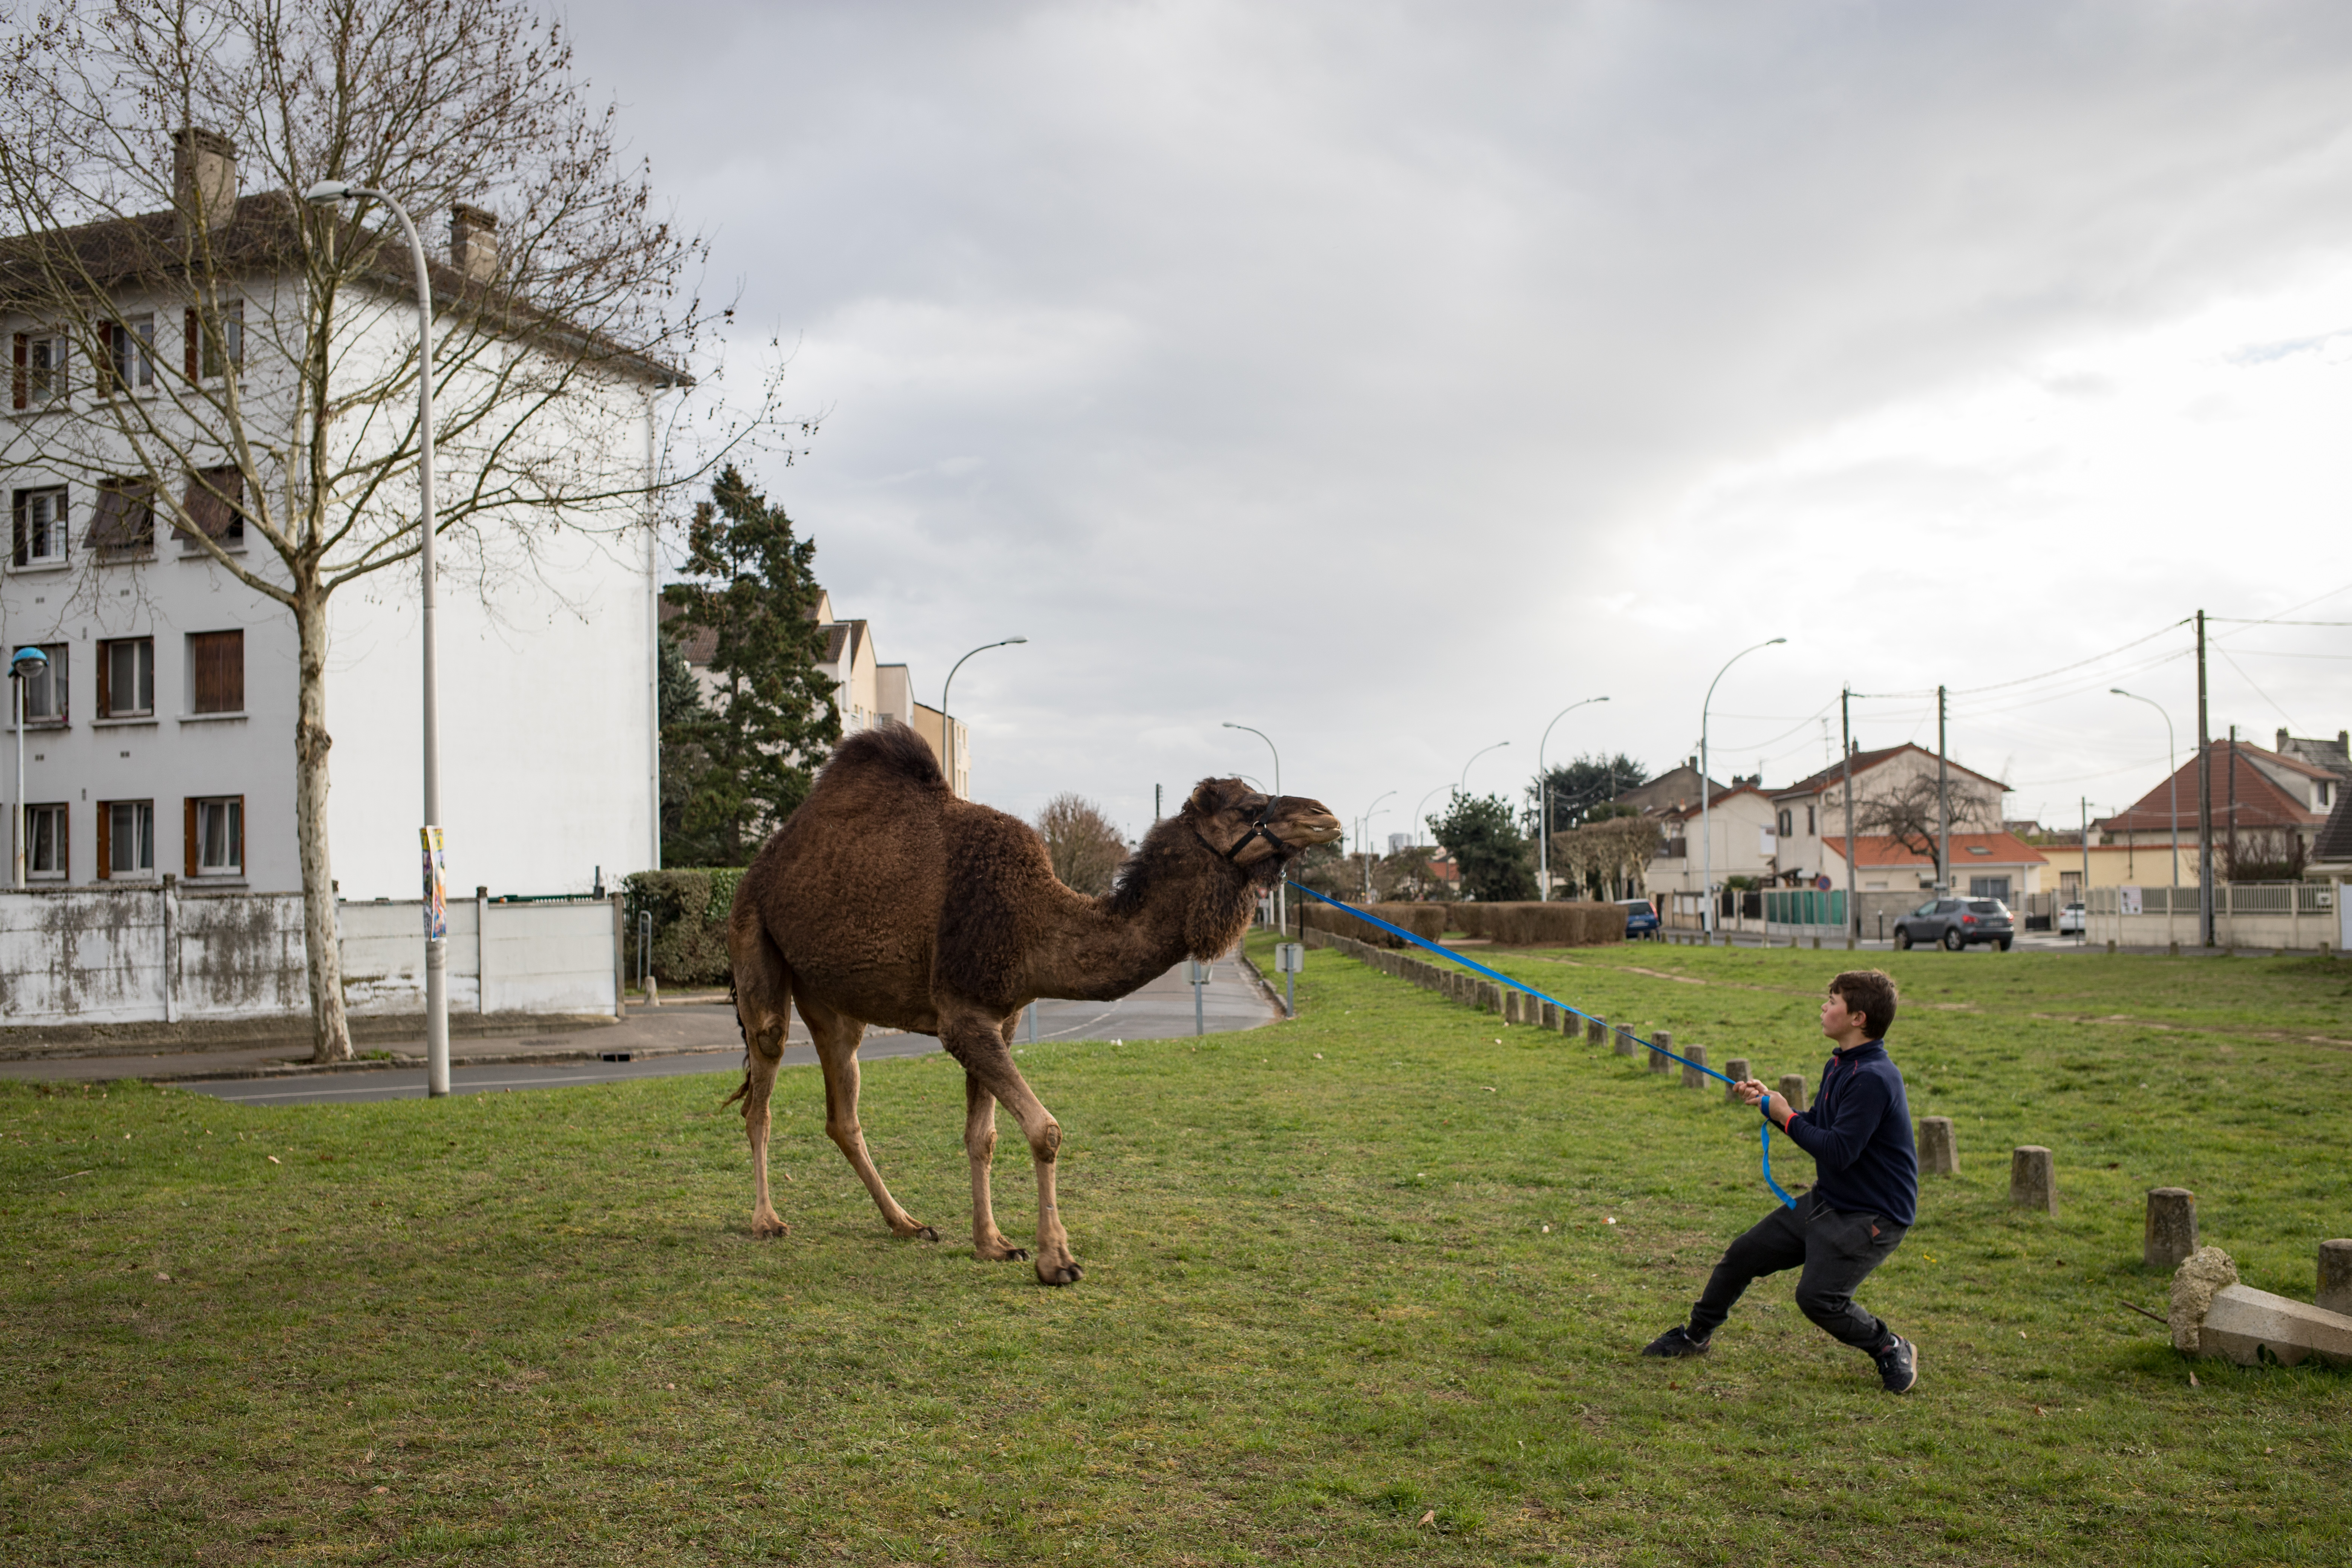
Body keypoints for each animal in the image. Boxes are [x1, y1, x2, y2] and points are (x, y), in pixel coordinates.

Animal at [715, 729, 1345, 1288]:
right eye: (1248, 808)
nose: (1324, 815)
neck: (1033, 921)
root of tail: (764, 863)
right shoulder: (963, 1018)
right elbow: (1045, 1130)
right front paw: (1057, 1261)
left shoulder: (1001, 1017)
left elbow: (984, 1136)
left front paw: (993, 1244)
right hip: (755, 938)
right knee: (763, 1079)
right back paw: (767, 1221)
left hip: (833, 1000)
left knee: (842, 1110)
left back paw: (907, 1224)